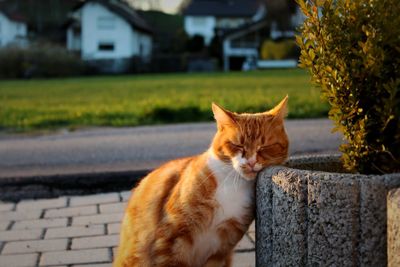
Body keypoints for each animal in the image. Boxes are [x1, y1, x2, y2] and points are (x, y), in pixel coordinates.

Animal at [114, 97, 290, 267]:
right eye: (237, 145)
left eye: (264, 147)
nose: (251, 162)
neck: (232, 183)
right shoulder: (172, 238)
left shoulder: (221, 250)